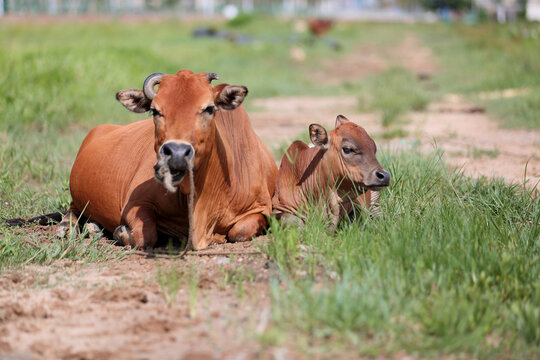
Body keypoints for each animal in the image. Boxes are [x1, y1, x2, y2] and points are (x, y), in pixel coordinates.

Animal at [61, 69, 276, 249]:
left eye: (209, 108)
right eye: (155, 110)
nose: (177, 153)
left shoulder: (261, 208)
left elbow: (239, 232)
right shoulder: (135, 202)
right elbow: (146, 235)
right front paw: (120, 232)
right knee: (72, 208)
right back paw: (69, 226)